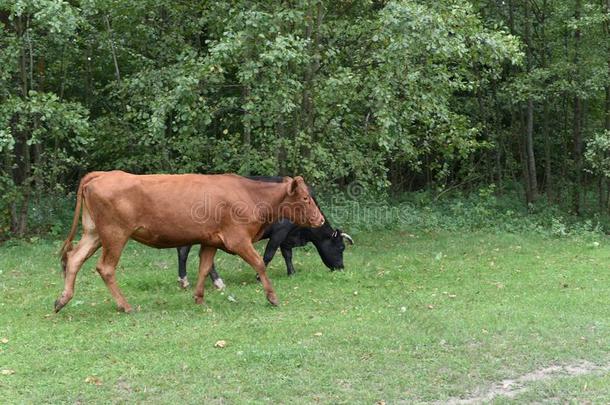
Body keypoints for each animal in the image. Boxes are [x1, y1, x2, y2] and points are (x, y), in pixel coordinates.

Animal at [54, 170, 326, 312]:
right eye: (305, 198)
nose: (320, 219)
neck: (249, 194)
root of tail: (103, 174)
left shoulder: (210, 241)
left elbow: (204, 267)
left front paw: (199, 297)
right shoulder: (238, 239)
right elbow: (259, 263)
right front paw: (272, 297)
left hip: (93, 233)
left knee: (74, 258)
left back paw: (62, 299)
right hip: (115, 234)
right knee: (106, 268)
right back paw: (125, 305)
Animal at [175, 176, 352, 288]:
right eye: (341, 248)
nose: (341, 267)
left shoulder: (287, 237)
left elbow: (287, 255)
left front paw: (292, 272)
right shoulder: (280, 232)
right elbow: (269, 254)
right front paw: (259, 276)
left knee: (184, 251)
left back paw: (185, 280)